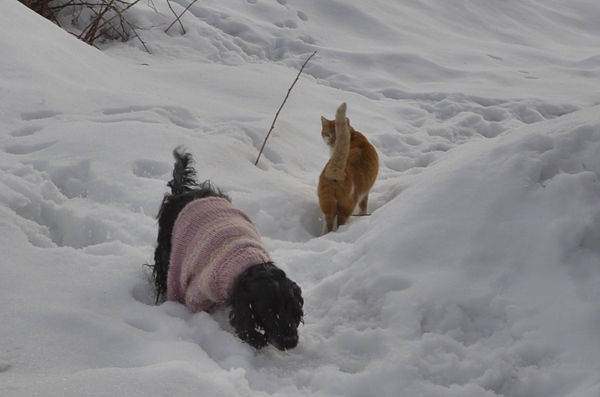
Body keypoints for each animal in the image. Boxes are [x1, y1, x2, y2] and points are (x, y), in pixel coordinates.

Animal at [148, 148, 302, 350]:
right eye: (269, 309)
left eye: (292, 307)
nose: (290, 341)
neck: (249, 266)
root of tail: (181, 193)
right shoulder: (199, 292)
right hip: (169, 254)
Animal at [318, 101, 380, 232]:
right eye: (327, 134)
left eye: (335, 135)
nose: (331, 142)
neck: (353, 136)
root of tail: (337, 170)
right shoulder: (365, 192)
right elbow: (363, 207)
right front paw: (362, 216)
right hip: (347, 205)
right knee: (340, 223)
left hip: (327, 203)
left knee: (327, 225)